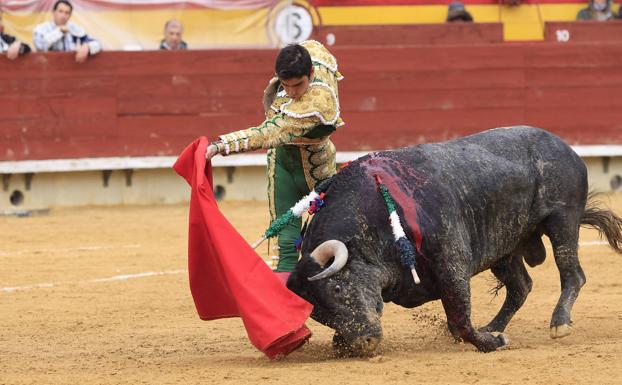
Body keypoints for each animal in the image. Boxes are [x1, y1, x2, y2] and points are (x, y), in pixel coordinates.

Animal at [288, 125, 622, 354]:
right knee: (521, 286)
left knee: (572, 274)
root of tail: (564, 146)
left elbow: (460, 315)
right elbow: (456, 316)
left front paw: (486, 343)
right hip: (504, 247)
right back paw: (494, 328)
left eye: (337, 287)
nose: (364, 342)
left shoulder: (451, 261)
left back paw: (558, 323)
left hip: (562, 221)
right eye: (319, 314)